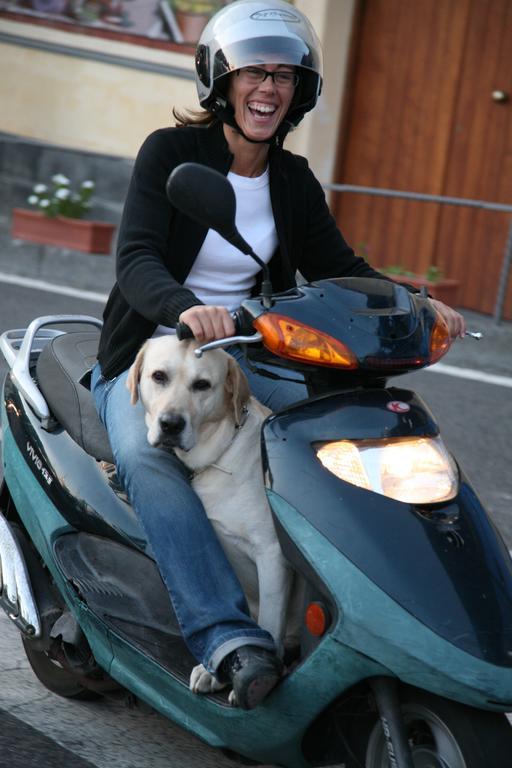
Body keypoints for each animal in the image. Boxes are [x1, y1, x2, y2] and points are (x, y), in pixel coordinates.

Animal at [126, 334, 300, 696]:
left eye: (202, 385)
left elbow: (270, 622)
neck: (220, 453)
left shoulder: (272, 555)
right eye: (159, 376)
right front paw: (219, 672)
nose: (171, 424)